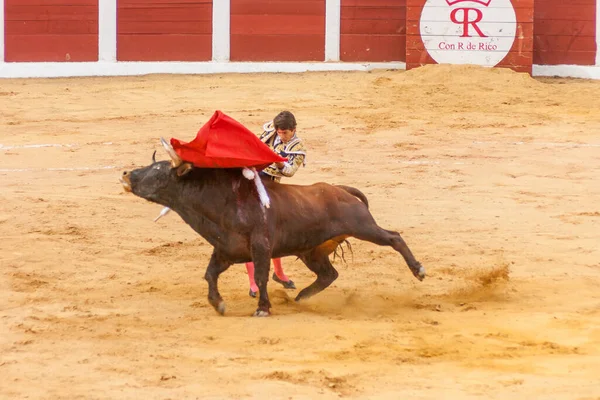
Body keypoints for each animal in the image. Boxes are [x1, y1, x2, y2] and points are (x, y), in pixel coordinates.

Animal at [119, 142, 424, 318]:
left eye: (158, 169)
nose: (125, 175)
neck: (219, 201)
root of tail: (340, 190)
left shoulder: (260, 246)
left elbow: (262, 276)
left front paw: (263, 308)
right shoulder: (226, 249)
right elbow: (210, 274)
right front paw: (218, 304)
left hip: (363, 227)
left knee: (394, 238)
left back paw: (419, 270)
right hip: (314, 250)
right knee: (329, 274)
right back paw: (301, 297)